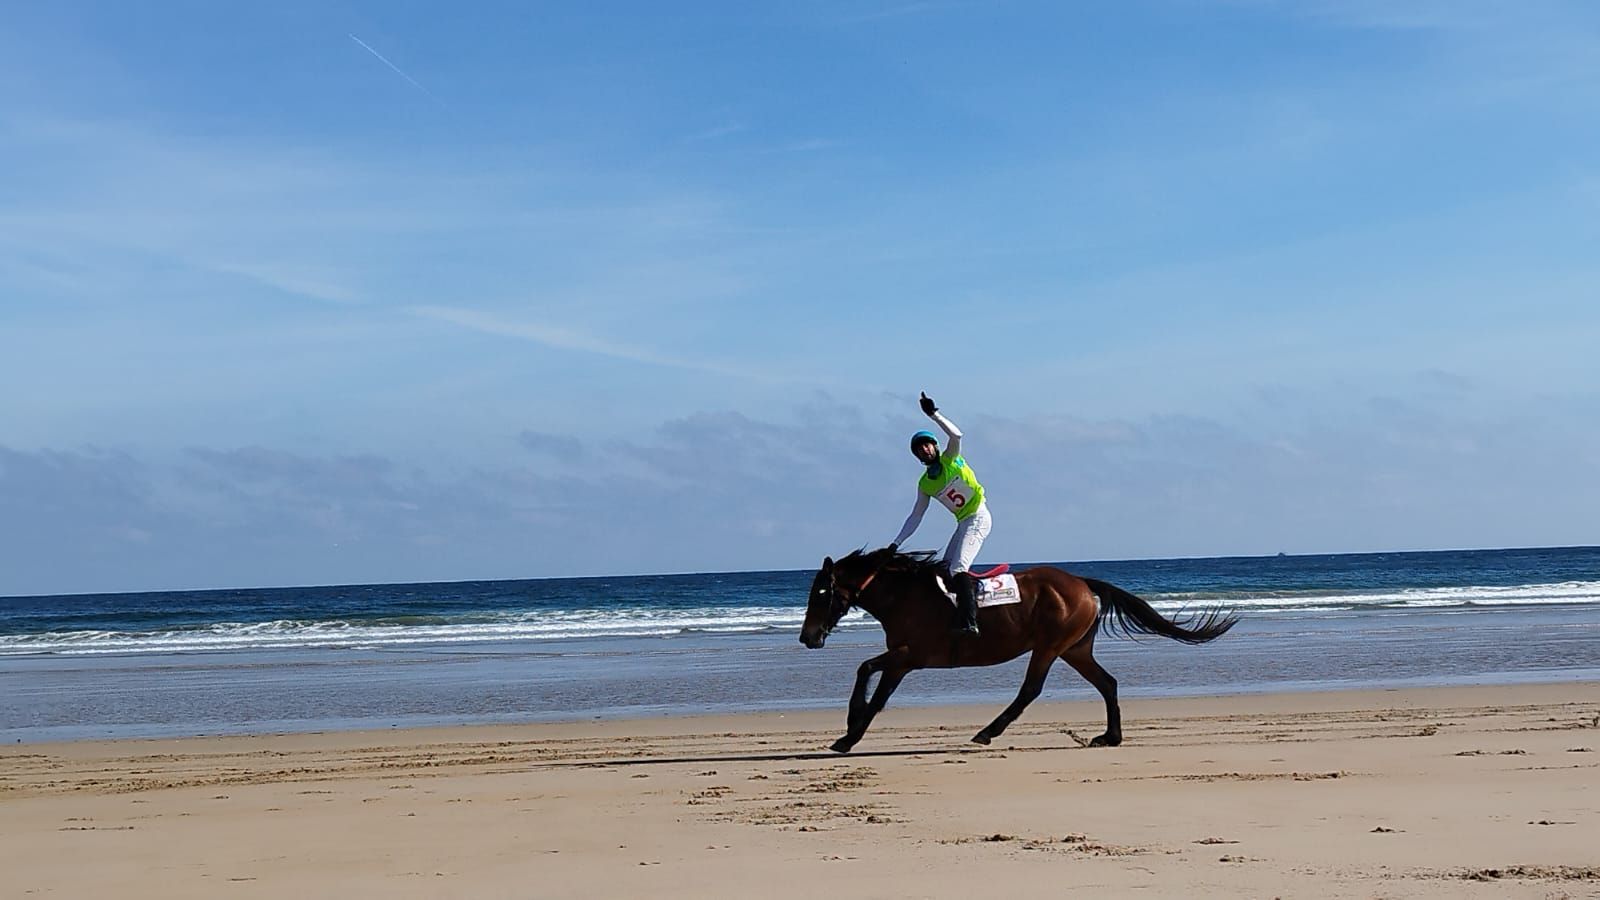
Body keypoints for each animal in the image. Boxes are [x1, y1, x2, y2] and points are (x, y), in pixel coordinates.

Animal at [798, 547, 1237, 753]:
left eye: (820, 593)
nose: (807, 637)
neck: (905, 595)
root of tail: (1081, 582)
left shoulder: (911, 656)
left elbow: (872, 682)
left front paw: (849, 734)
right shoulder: (904, 659)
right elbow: (869, 675)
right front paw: (850, 727)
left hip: (1049, 646)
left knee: (1030, 690)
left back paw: (987, 732)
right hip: (1075, 649)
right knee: (1107, 683)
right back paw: (1109, 736)